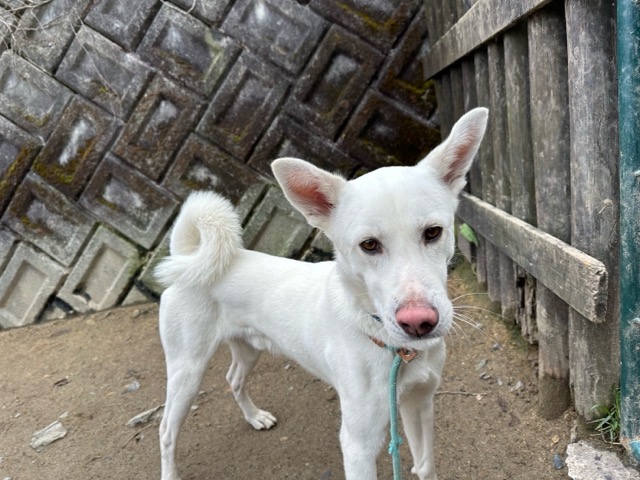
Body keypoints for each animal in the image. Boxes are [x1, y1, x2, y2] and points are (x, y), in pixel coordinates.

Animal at [155, 107, 488, 480]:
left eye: (433, 232)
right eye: (369, 245)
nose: (418, 322)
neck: (394, 349)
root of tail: (185, 257)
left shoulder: (419, 403)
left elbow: (426, 465)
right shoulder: (358, 444)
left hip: (247, 348)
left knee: (233, 379)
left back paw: (255, 417)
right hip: (187, 370)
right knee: (166, 429)